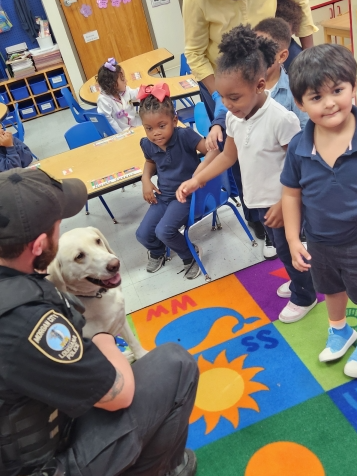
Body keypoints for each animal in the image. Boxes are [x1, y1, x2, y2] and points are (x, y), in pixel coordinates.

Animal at [47, 227, 147, 360]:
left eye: (98, 240)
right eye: (79, 256)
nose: (115, 264)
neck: (98, 295)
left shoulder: (121, 319)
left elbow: (133, 342)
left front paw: (142, 354)